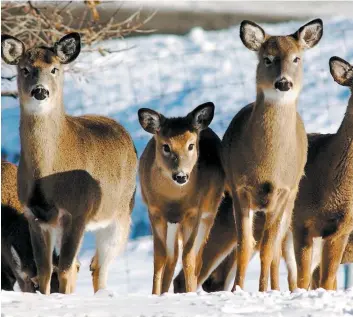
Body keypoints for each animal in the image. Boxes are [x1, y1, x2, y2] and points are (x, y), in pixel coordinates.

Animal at [0, 32, 137, 294]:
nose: (40, 91)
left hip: (120, 214)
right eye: (24, 69)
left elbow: (62, 269)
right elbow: (45, 270)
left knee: (98, 266)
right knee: (86, 265)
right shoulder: (34, 216)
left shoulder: (77, 211)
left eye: (54, 69)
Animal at [138, 102, 223, 292]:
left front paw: (189, 293)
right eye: (166, 146)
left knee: (196, 258)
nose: (181, 176)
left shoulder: (194, 213)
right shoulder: (154, 212)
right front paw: (155, 294)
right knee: (172, 256)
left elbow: (189, 257)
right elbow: (160, 257)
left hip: (209, 214)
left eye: (191, 145)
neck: (173, 200)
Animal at [221, 19, 324, 292]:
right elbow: (244, 246)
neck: (268, 165)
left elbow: (268, 248)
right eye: (267, 59)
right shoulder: (239, 189)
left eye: (297, 58)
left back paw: (275, 288)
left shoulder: (283, 191)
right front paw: (237, 290)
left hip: (291, 199)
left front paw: (263, 291)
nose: (283, 83)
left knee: (277, 248)